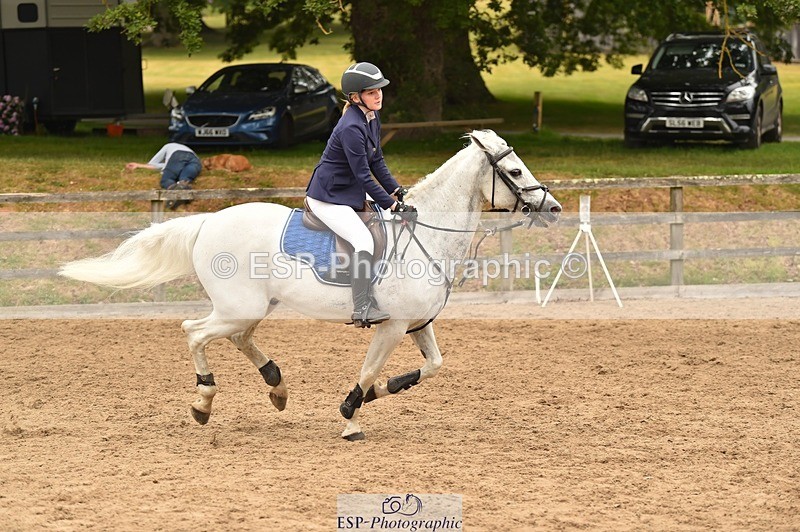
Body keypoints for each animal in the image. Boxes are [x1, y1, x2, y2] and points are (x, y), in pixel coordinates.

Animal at [59, 129, 562, 440]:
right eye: (516, 172)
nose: (553, 208)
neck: (429, 236)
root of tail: (207, 221)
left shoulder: (417, 324)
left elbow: (433, 366)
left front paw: (378, 395)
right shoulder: (392, 326)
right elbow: (368, 371)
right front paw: (351, 418)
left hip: (254, 306)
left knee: (239, 338)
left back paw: (277, 387)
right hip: (238, 307)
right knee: (194, 332)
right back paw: (204, 401)